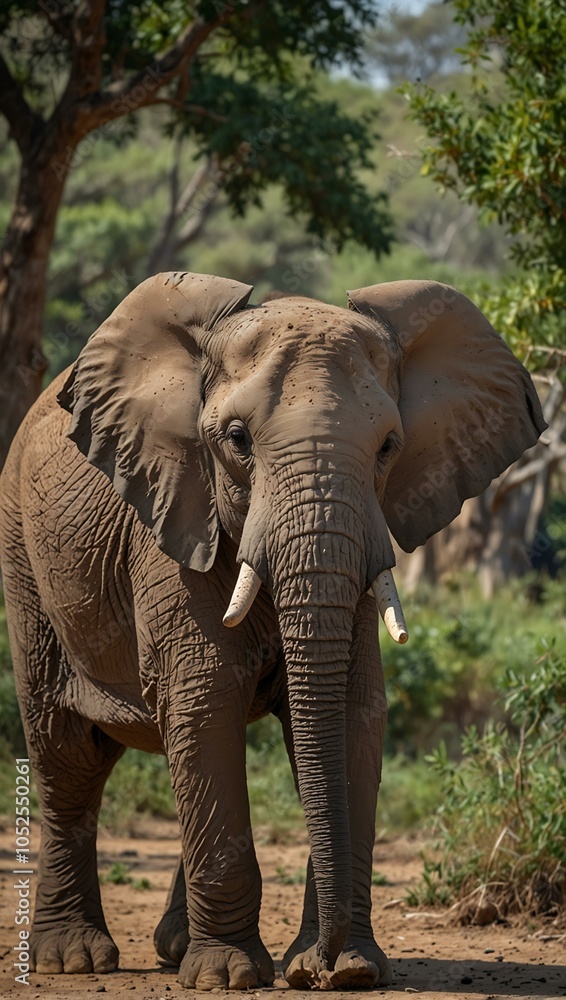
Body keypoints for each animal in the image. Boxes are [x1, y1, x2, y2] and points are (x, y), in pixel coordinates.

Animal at [0, 271, 545, 990]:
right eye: (236, 440)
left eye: (389, 447)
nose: (317, 971)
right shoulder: (175, 516)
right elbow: (205, 701)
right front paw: (229, 977)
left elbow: (353, 709)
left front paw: (349, 970)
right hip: (22, 553)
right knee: (67, 756)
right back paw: (73, 959)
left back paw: (174, 946)